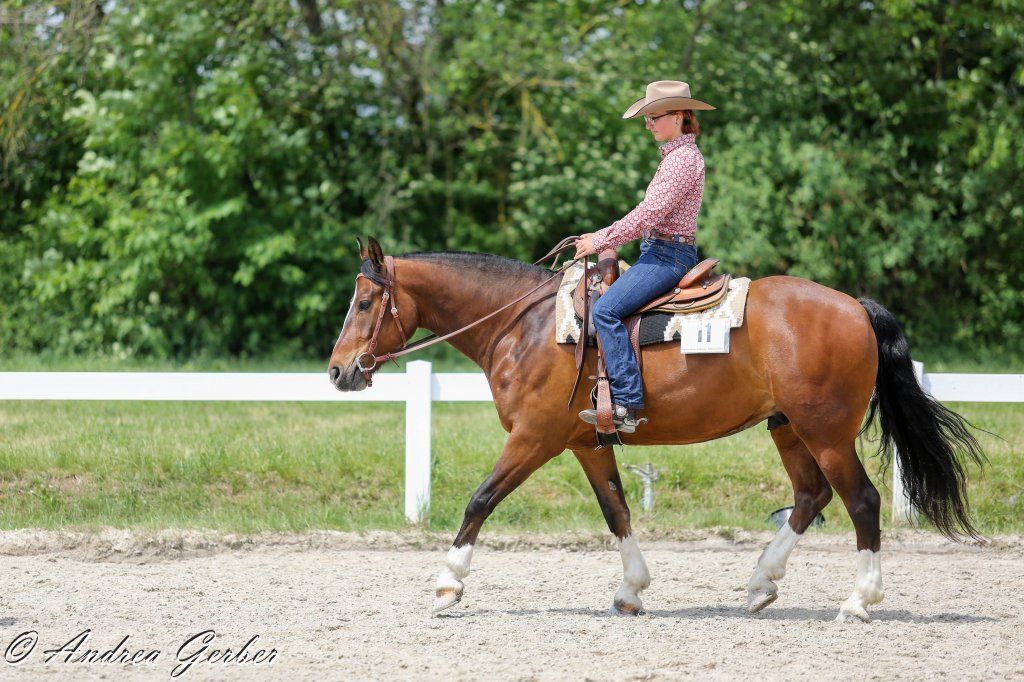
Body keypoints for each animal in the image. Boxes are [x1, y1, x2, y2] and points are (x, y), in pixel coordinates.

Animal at [328, 236, 984, 621]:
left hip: (826, 432)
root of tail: (854, 306)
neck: (527, 326)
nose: (338, 370)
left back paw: (858, 601)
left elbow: (480, 499)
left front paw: (448, 584)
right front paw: (631, 590)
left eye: (363, 302)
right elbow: (616, 510)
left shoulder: (534, 438)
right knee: (810, 495)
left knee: (862, 501)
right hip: (788, 428)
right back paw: (760, 585)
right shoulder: (585, 442)